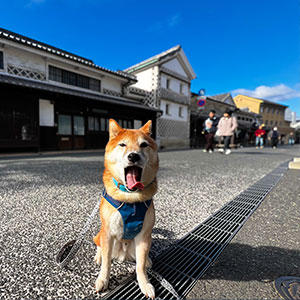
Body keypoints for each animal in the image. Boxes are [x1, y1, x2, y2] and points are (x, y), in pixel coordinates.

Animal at [93, 119, 159, 298]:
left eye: (143, 145)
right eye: (122, 144)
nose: (133, 156)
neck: (131, 198)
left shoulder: (144, 235)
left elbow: (140, 266)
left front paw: (145, 284)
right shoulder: (108, 232)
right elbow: (107, 263)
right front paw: (103, 280)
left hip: (143, 241)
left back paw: (149, 260)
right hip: (102, 234)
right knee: (99, 245)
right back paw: (98, 256)